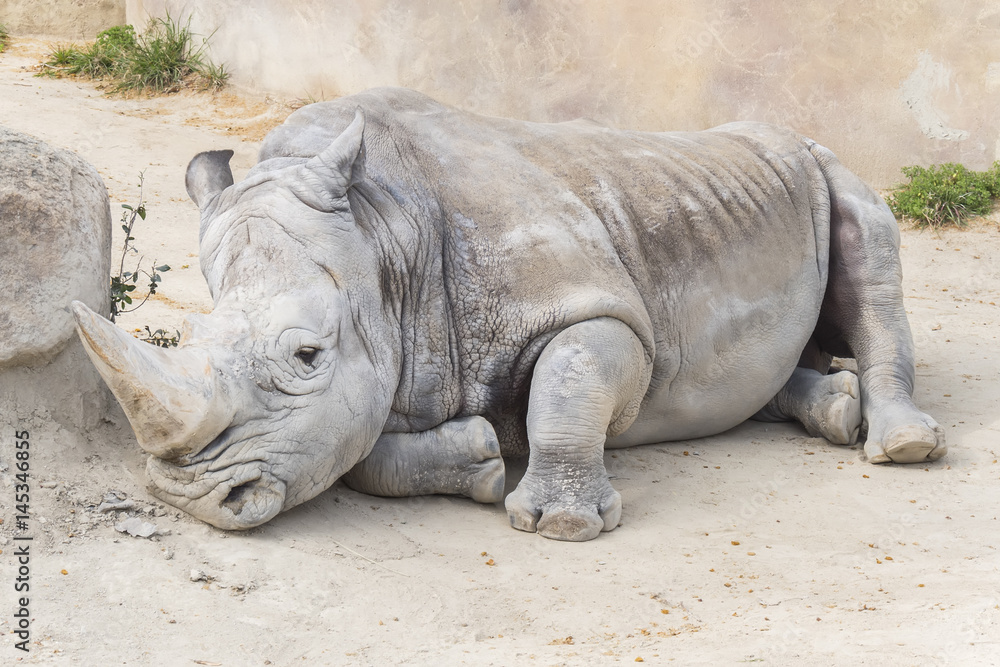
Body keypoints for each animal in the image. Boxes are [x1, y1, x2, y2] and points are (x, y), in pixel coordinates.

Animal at [72, 87, 945, 541]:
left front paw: (560, 522)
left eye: (307, 356)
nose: (187, 499)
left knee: (873, 257)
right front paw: (483, 456)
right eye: (190, 338)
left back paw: (900, 445)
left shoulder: (606, 311)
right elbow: (359, 453)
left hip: (828, 164)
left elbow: (574, 373)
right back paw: (834, 412)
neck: (385, 230)